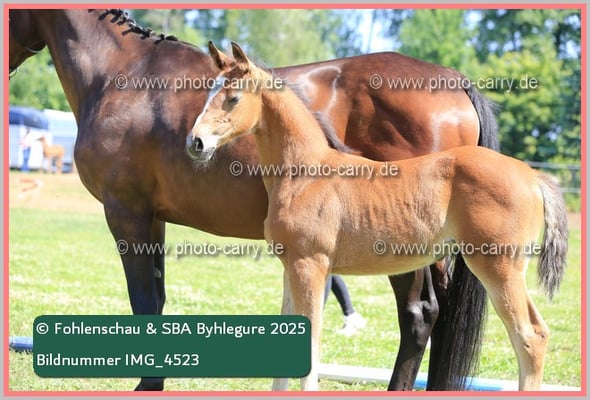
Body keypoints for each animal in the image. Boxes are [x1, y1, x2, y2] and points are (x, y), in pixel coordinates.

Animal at [9, 9, 498, 391]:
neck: (123, 72)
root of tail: (454, 82)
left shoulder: (126, 213)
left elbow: (143, 301)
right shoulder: (153, 219)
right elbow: (159, 299)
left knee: (419, 315)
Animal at [187, 41, 568, 391]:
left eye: (233, 98)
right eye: (209, 92)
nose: (196, 143)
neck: (306, 173)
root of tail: (531, 175)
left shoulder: (310, 265)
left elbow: (311, 346)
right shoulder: (291, 266)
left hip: (498, 266)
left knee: (530, 336)